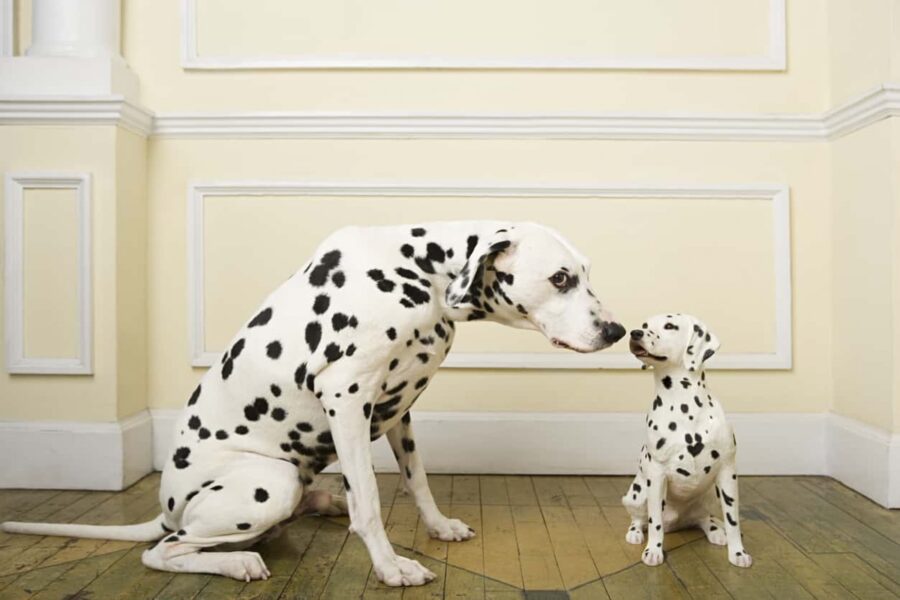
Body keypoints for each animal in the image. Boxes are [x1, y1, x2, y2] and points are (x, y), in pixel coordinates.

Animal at [3, 220, 624, 584]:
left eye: (584, 274)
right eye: (561, 278)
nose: (616, 330)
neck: (419, 270)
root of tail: (167, 506)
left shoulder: (398, 411)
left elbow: (417, 480)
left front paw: (439, 526)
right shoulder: (347, 398)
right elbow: (369, 501)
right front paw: (391, 566)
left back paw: (320, 504)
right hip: (268, 483)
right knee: (164, 551)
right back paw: (237, 560)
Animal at [620, 314, 752, 568]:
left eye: (669, 326)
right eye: (645, 325)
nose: (635, 333)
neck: (683, 404)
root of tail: (677, 522)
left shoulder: (727, 472)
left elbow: (733, 520)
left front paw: (738, 552)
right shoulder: (656, 476)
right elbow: (654, 522)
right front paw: (654, 550)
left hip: (711, 494)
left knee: (705, 519)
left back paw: (715, 531)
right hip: (637, 494)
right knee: (638, 518)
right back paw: (635, 532)